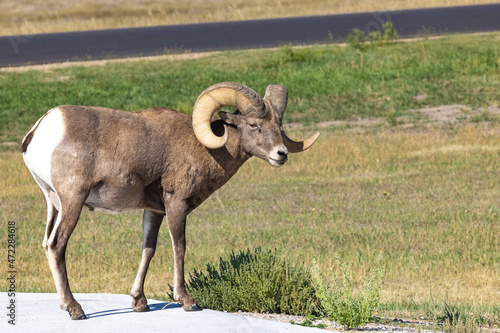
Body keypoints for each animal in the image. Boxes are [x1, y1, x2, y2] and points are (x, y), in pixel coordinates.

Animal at [21, 81, 318, 320]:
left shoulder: (154, 211)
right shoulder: (177, 204)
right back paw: (75, 310)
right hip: (73, 200)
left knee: (47, 243)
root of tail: (40, 130)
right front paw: (187, 301)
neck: (206, 150)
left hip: (53, 204)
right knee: (57, 245)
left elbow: (148, 249)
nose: (281, 154)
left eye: (279, 127)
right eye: (254, 126)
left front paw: (139, 303)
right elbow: (179, 247)